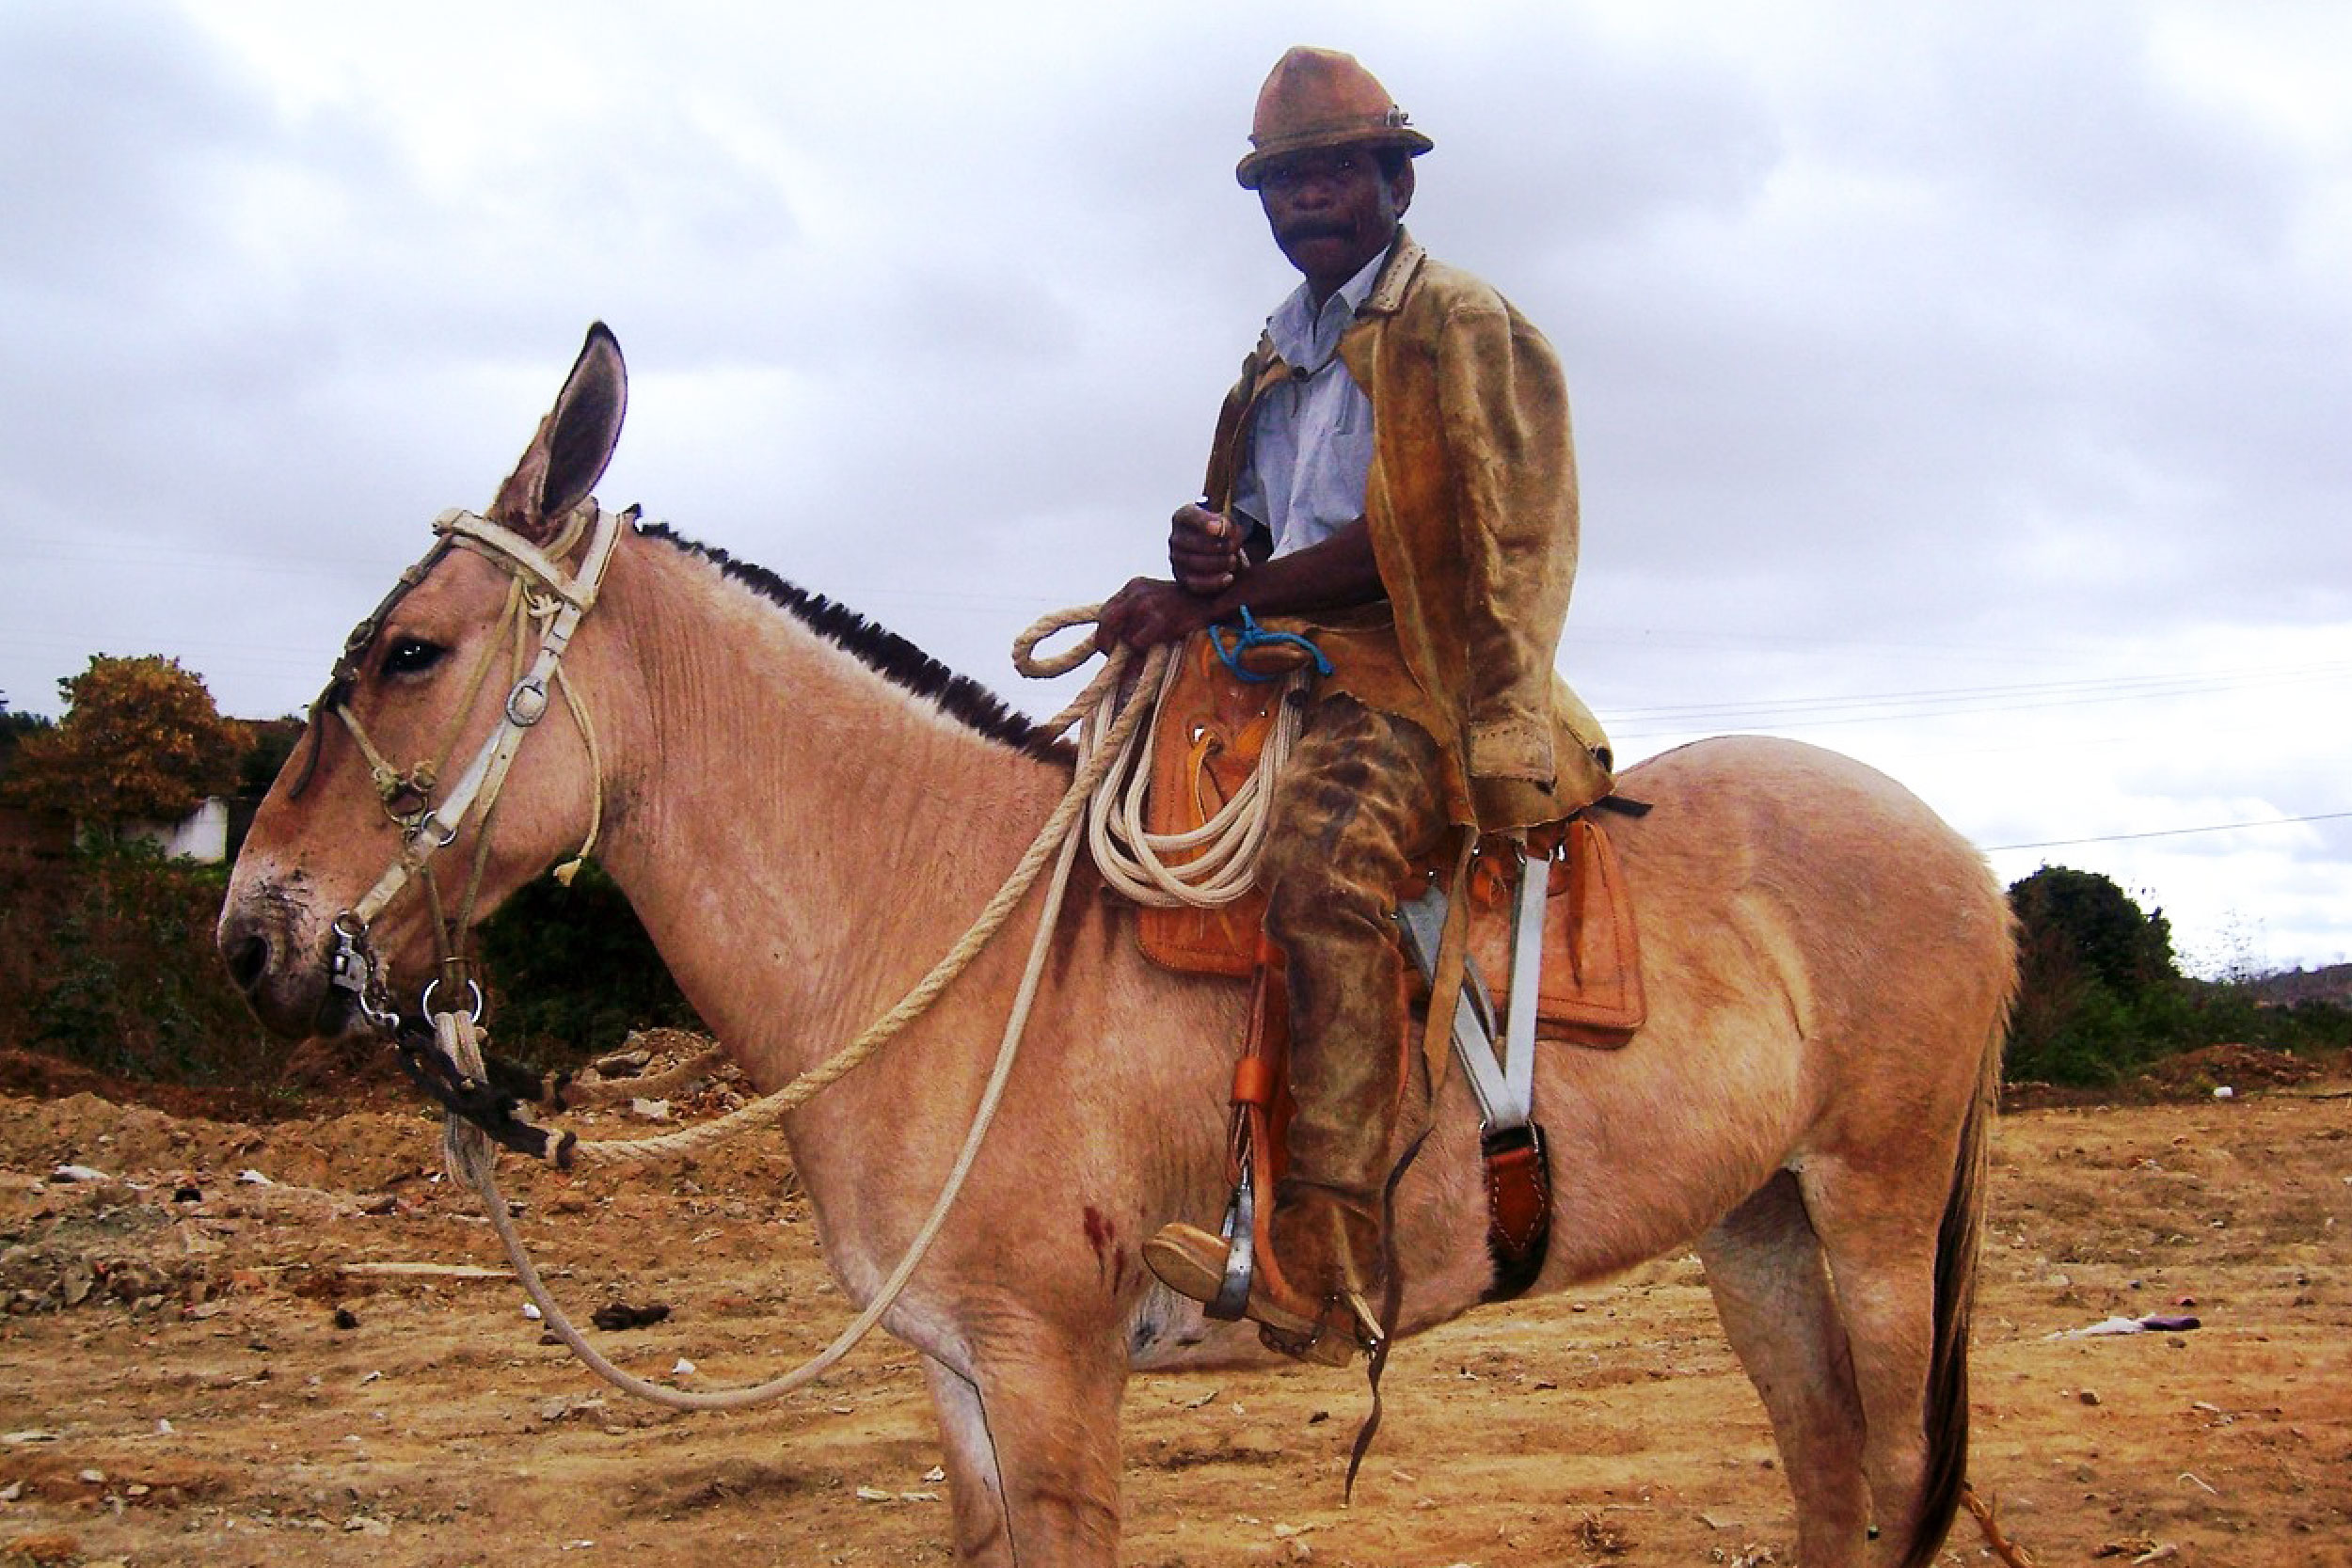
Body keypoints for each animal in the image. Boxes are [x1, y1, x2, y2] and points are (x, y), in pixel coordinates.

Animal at [219, 325, 2016, 1567]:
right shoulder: (959, 1380)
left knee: (1890, 1473)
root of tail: (1965, 859)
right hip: (1758, 1225)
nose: (252, 931)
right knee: (1832, 1476)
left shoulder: (1054, 1377)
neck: (927, 923)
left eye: (407, 650)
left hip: (1873, 1215)